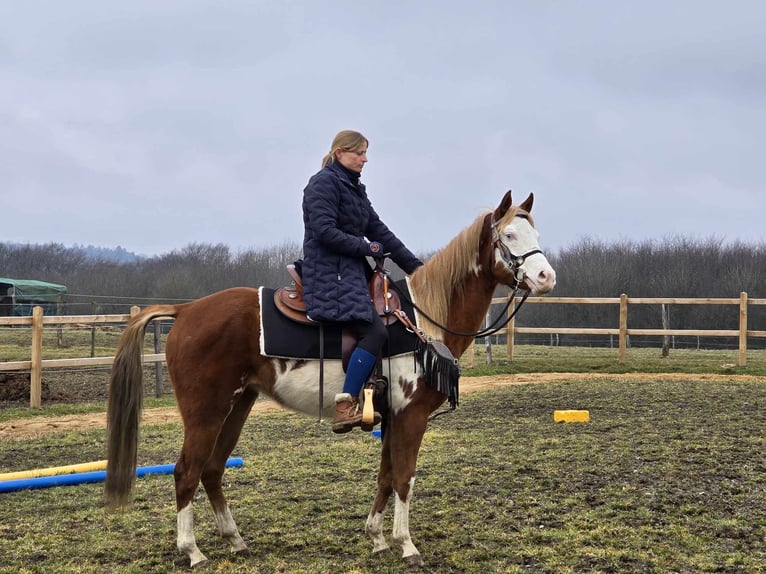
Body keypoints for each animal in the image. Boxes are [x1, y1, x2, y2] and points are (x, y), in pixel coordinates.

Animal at [103, 191, 560, 568]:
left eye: (535, 231)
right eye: (509, 235)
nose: (546, 278)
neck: (421, 320)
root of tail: (186, 310)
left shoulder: (391, 417)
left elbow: (386, 475)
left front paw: (377, 539)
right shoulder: (411, 415)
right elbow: (405, 477)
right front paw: (406, 545)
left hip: (237, 406)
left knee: (212, 470)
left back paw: (235, 540)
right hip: (206, 412)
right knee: (186, 471)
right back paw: (193, 551)